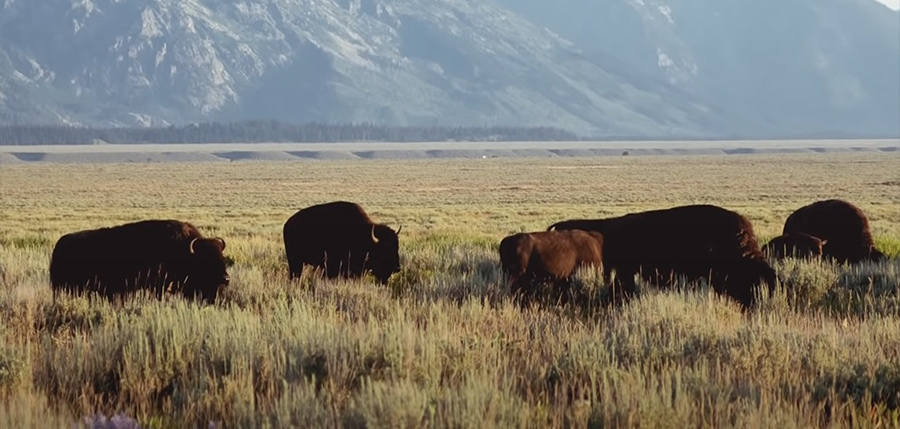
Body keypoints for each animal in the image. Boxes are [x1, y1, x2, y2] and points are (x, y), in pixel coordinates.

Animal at [49, 220, 229, 303]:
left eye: (222, 258)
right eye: (207, 260)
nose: (226, 279)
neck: (186, 252)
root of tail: (58, 245)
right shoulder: (158, 287)